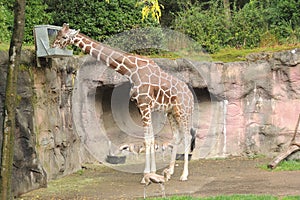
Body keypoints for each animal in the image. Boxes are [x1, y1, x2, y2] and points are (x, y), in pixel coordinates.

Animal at [52, 23, 195, 181]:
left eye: (64, 37)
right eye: (58, 34)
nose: (53, 45)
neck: (131, 70)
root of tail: (191, 96)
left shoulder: (144, 104)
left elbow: (147, 139)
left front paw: (146, 175)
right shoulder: (142, 106)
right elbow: (150, 138)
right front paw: (152, 173)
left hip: (183, 111)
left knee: (187, 136)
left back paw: (184, 175)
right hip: (171, 112)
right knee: (177, 137)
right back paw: (169, 172)